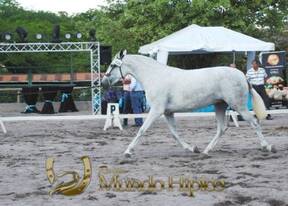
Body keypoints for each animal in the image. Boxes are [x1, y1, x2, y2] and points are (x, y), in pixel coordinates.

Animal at [101, 50, 274, 156]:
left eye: (113, 65)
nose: (102, 83)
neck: (155, 76)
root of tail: (242, 75)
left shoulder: (156, 110)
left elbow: (142, 130)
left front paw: (128, 151)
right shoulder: (167, 112)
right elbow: (175, 134)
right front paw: (192, 148)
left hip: (239, 106)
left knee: (254, 123)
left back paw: (267, 146)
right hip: (220, 105)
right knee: (222, 128)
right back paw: (205, 151)